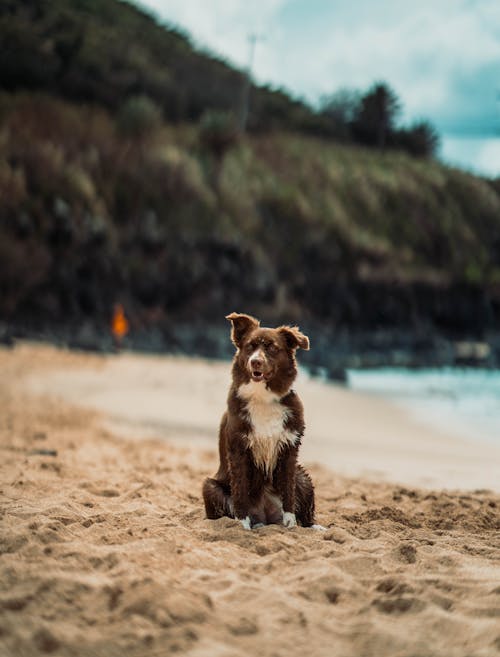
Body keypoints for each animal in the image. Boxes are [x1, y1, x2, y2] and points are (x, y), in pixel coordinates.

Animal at [202, 310, 316, 532]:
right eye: (250, 346)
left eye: (272, 347)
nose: (255, 361)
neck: (262, 397)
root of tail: (266, 516)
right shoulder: (238, 448)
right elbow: (240, 490)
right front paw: (243, 524)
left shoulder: (290, 448)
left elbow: (288, 489)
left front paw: (290, 522)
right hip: (209, 486)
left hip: (303, 478)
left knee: (306, 514)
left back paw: (315, 527)